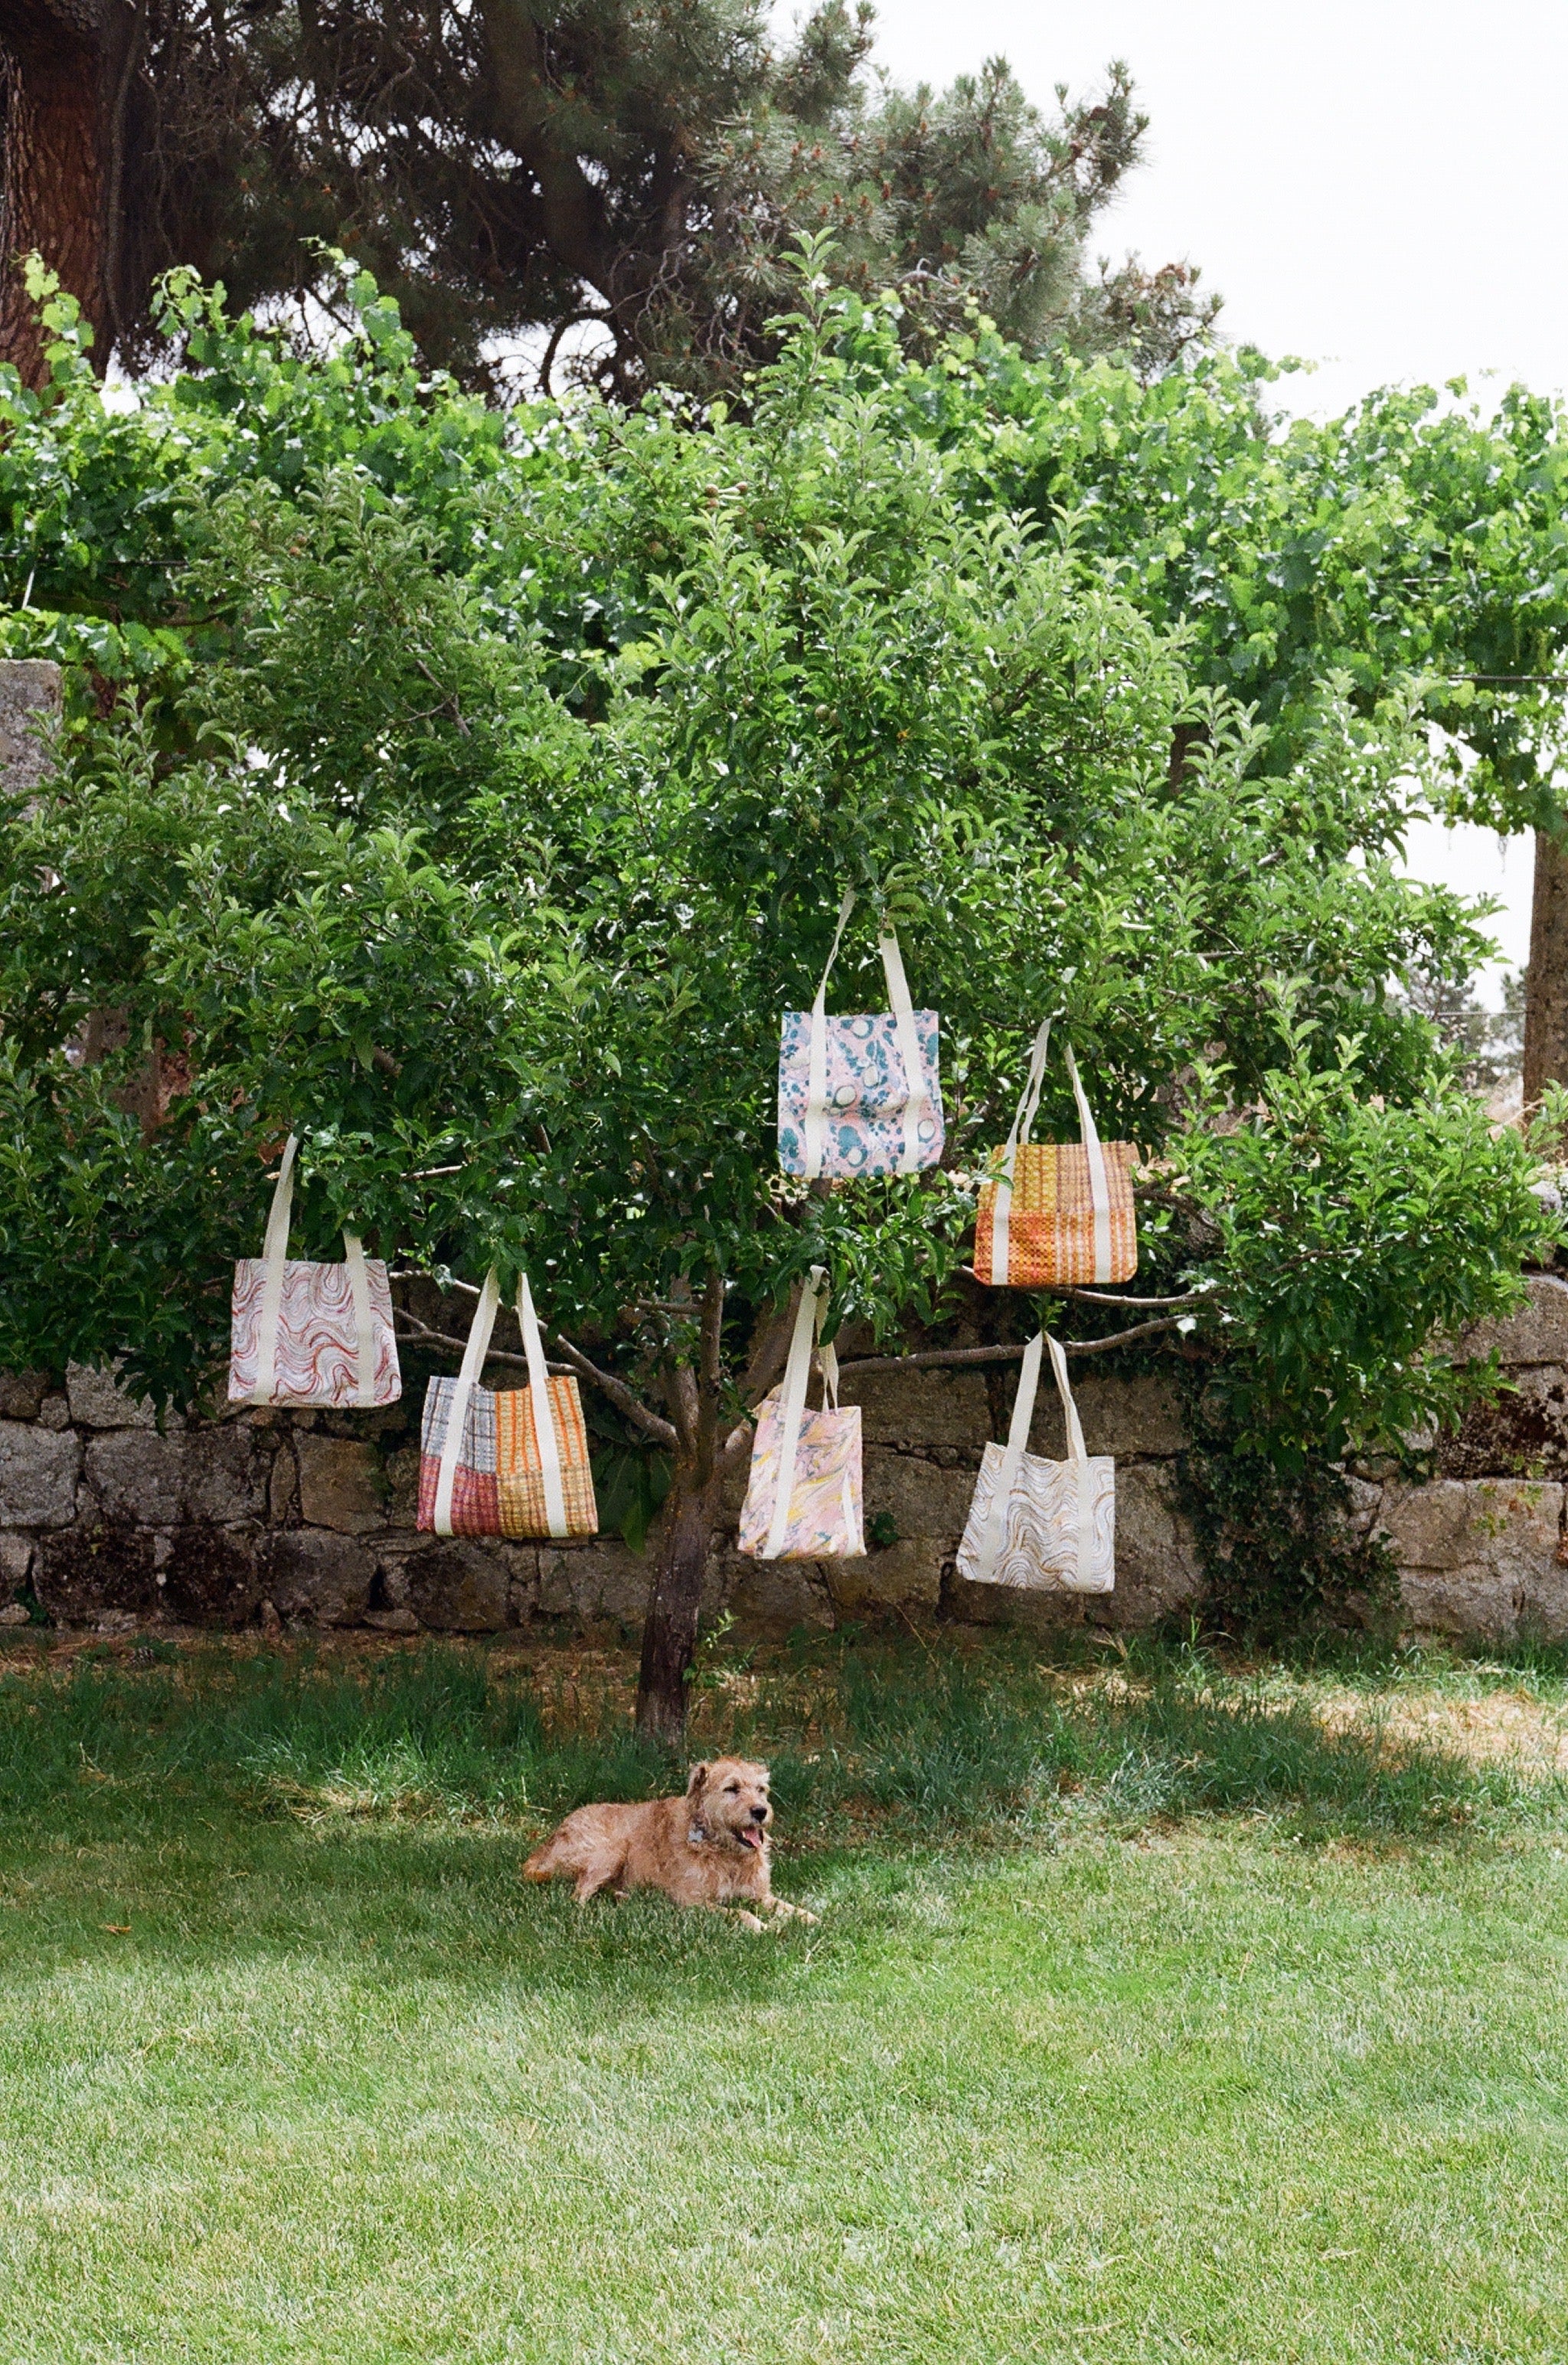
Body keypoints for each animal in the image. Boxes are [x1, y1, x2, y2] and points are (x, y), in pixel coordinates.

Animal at [527, 1750, 822, 1929]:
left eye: (761, 1789)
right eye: (732, 1788)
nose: (760, 1811)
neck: (724, 1852)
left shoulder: (759, 1895)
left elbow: (788, 1907)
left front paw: (811, 1919)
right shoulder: (692, 1902)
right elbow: (740, 1912)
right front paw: (760, 1925)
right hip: (612, 1850)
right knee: (577, 1898)